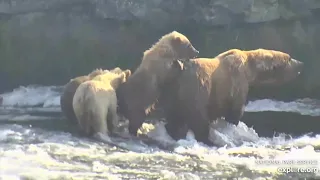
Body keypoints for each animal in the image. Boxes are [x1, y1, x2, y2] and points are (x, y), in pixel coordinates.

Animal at [159, 48, 304, 146]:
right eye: (289, 58)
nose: (300, 63)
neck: (249, 70)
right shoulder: (235, 83)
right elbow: (235, 110)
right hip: (196, 89)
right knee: (198, 118)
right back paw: (208, 140)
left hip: (173, 93)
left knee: (174, 117)